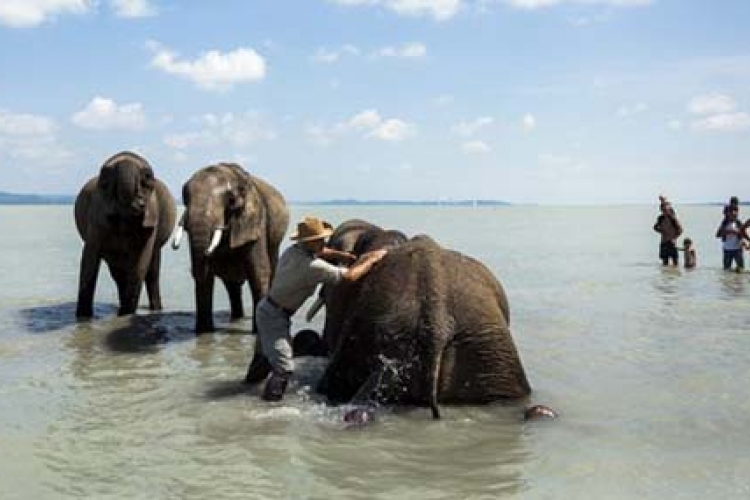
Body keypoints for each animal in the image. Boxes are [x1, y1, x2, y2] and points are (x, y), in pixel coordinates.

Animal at [173, 164, 290, 334]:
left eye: (231, 200)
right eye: (185, 197)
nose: (207, 252)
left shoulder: (254, 220)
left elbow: (258, 273)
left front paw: (258, 332)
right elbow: (206, 278)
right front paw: (204, 333)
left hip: (275, 244)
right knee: (232, 286)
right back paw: (236, 318)